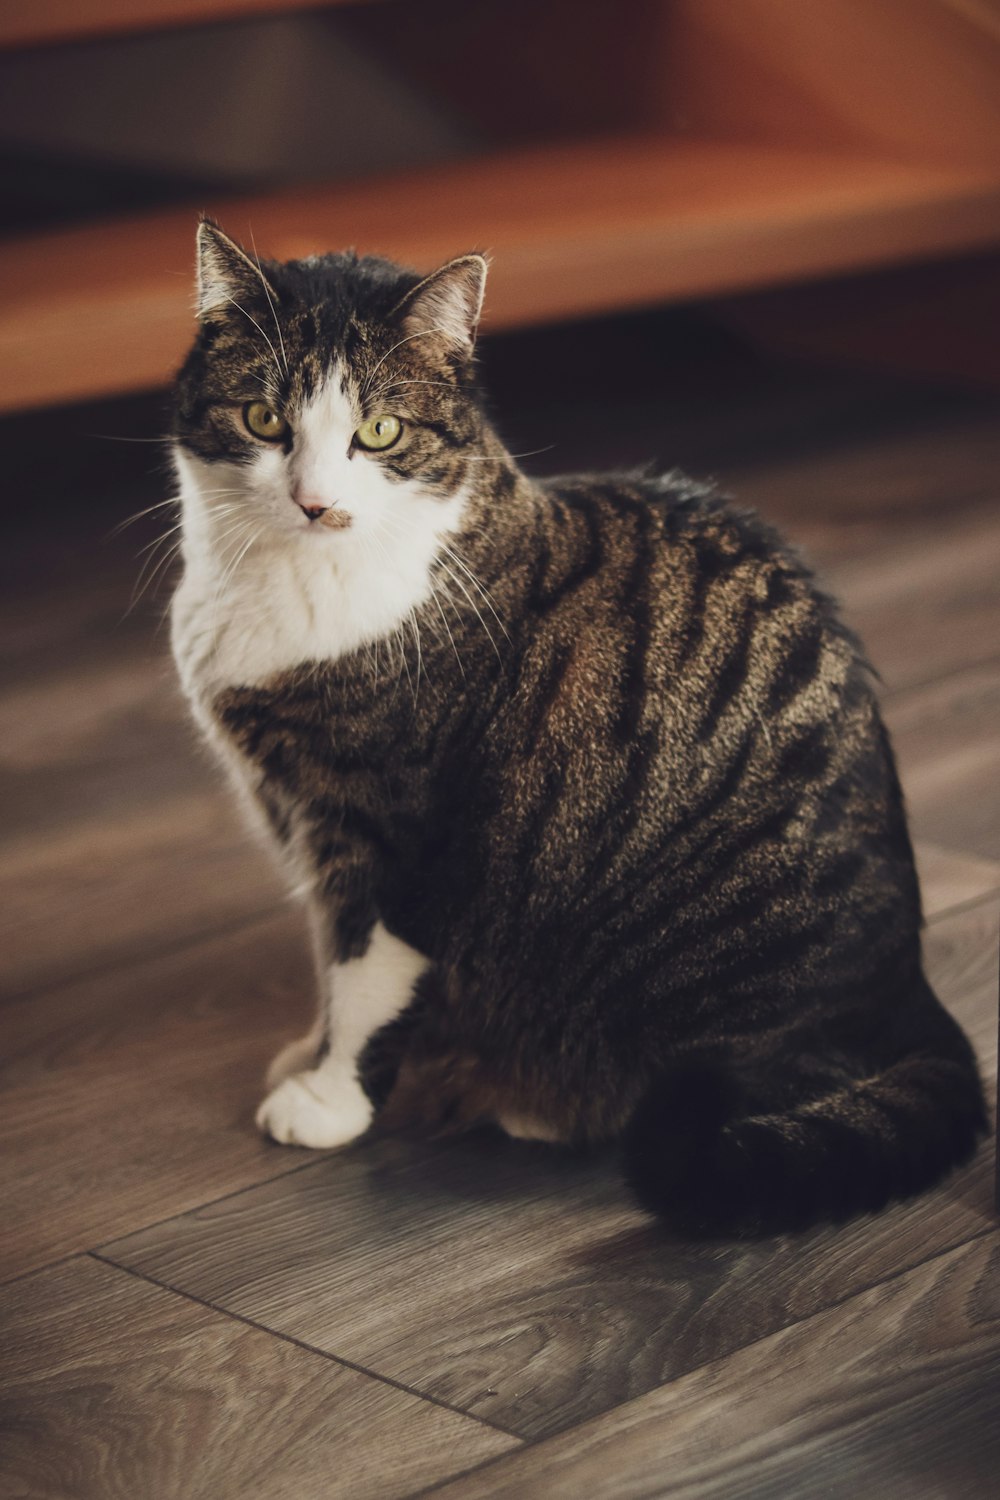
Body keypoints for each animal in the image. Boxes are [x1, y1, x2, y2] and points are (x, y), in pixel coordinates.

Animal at [170, 219, 983, 1230]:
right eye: (264, 421)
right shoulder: (306, 823)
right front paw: (307, 1051)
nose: (316, 502)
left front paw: (329, 1098)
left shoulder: (385, 827)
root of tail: (910, 992)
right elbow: (327, 953)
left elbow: (361, 972)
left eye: (378, 432)